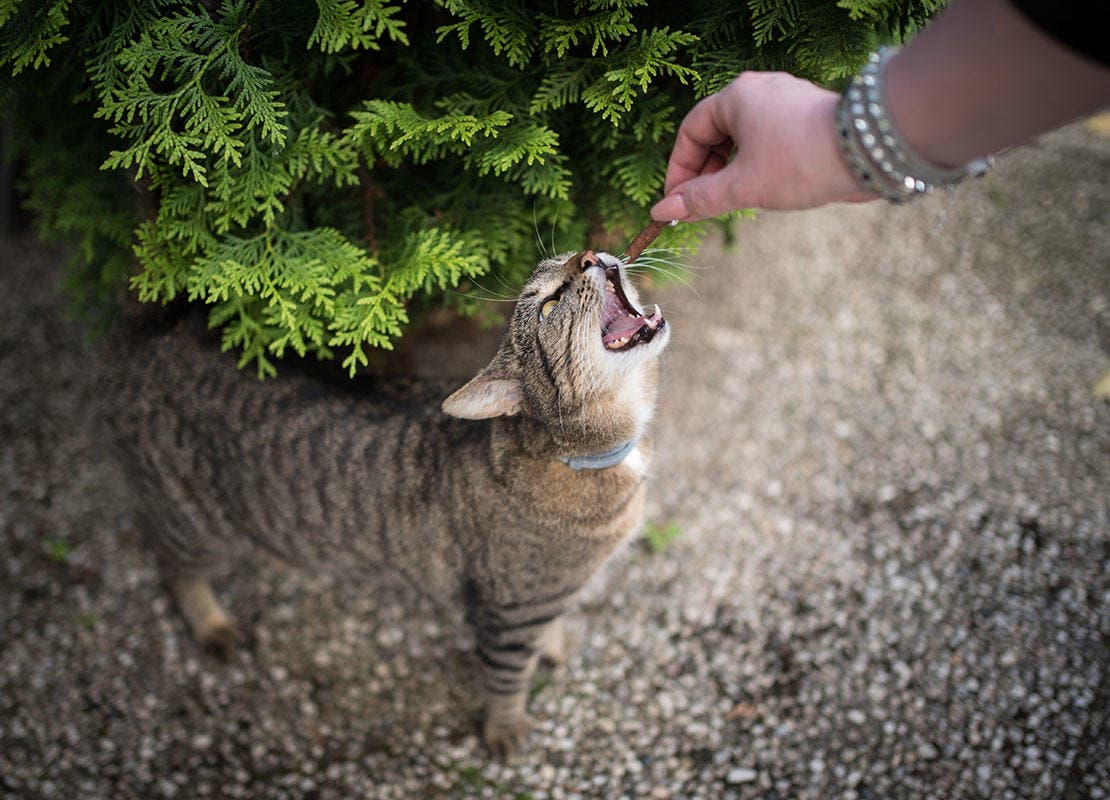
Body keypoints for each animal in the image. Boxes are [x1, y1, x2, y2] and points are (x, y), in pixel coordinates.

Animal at [106, 249, 666, 754]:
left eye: (567, 259)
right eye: (549, 306)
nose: (587, 255)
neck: (594, 456)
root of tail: (166, 326)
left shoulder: (536, 602)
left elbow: (548, 628)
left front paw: (552, 644)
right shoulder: (507, 613)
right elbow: (507, 679)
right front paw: (505, 729)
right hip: (195, 523)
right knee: (174, 568)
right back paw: (210, 622)